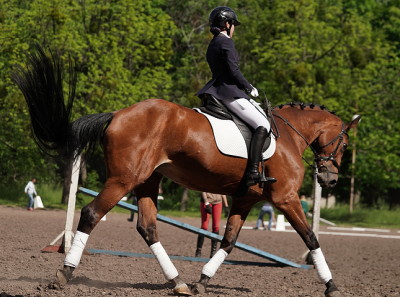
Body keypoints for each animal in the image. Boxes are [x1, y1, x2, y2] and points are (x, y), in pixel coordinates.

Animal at [12, 45, 360, 294]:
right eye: (344, 145)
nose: (329, 179)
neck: (288, 136)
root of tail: (117, 115)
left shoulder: (245, 198)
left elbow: (228, 240)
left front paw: (202, 281)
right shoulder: (286, 198)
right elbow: (311, 237)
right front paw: (332, 286)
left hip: (147, 181)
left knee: (148, 227)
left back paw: (178, 282)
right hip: (124, 179)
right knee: (91, 213)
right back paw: (64, 273)